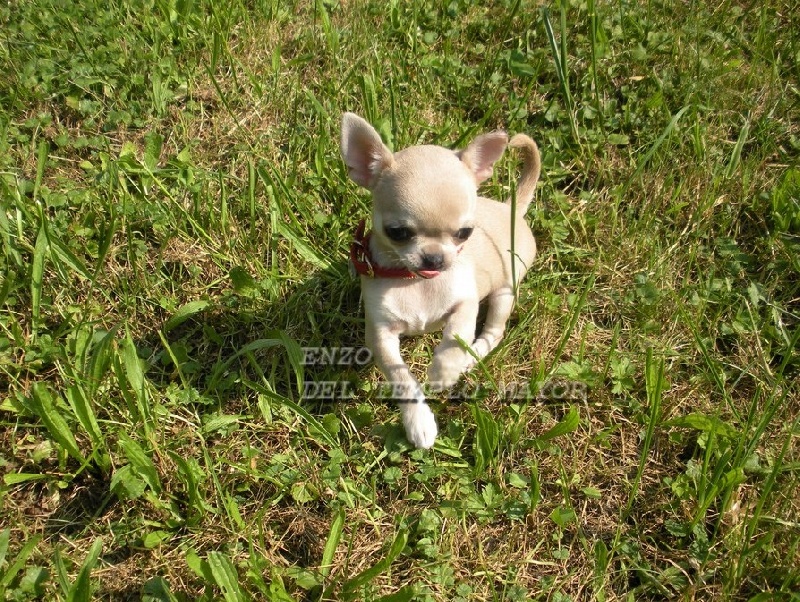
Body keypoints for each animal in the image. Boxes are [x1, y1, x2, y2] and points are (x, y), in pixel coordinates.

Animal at [341, 113, 541, 449]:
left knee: (493, 332)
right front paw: (418, 422)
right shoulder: (380, 335)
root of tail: (510, 208)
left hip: (505, 290)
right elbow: (402, 378)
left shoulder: (466, 304)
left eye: (465, 233)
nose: (434, 258)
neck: (414, 281)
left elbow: (455, 336)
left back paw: (471, 359)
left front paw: (444, 372)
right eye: (397, 232)